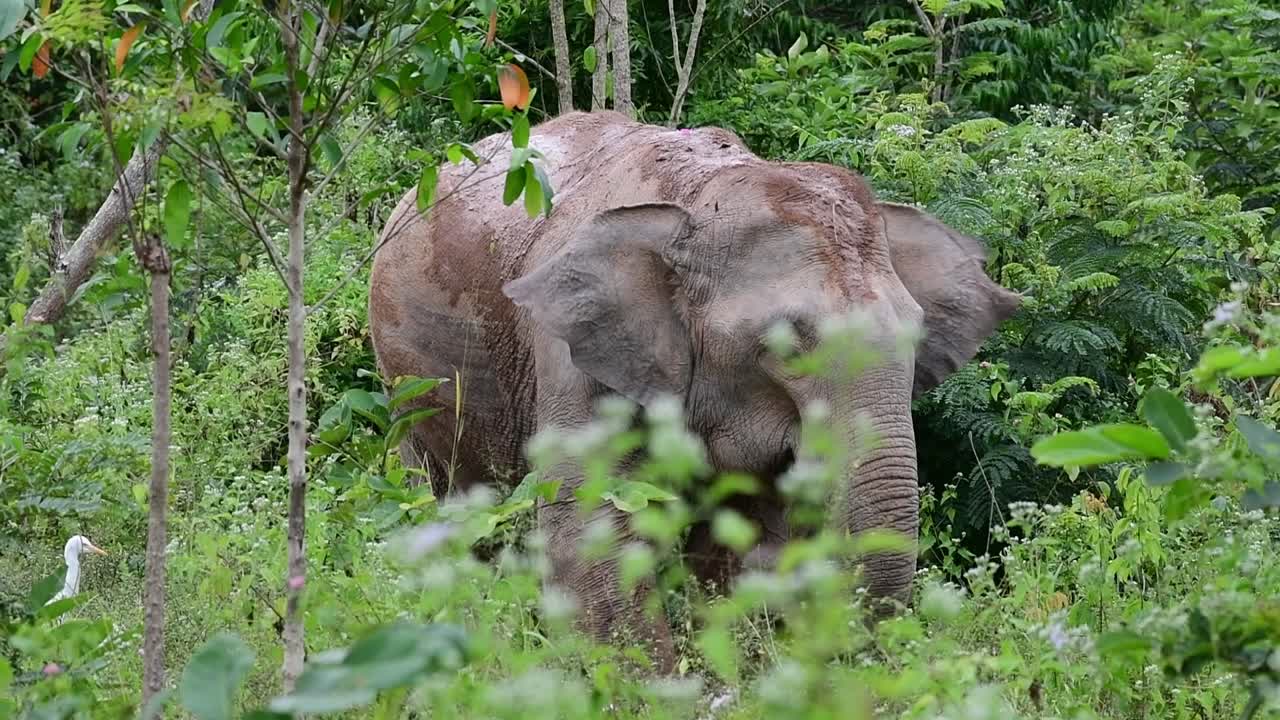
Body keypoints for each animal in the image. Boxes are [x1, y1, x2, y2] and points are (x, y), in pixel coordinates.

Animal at [368, 110, 1020, 671]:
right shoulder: (570, 351)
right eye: (787, 346)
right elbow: (588, 520)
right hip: (405, 384)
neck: (701, 197)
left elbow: (744, 532)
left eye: (917, 338)